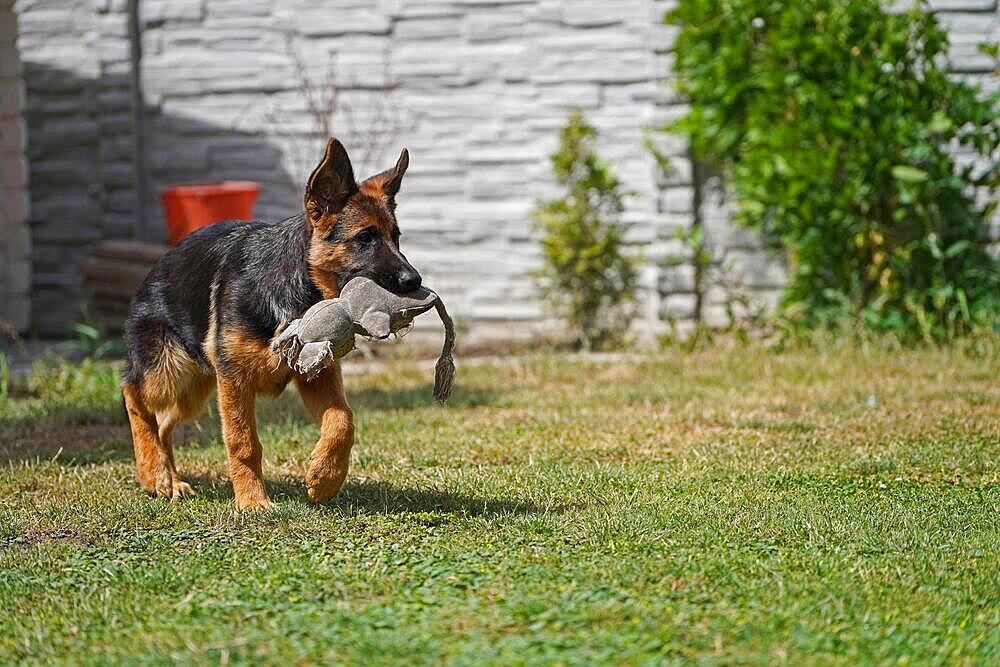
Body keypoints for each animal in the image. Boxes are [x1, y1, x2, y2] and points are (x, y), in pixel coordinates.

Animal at [121, 138, 422, 508]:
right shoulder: (234, 381)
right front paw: (252, 502)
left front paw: (324, 478)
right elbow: (243, 442)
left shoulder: (317, 375)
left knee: (163, 422)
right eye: (366, 238)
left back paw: (170, 480)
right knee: (133, 395)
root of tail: (156, 267)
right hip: (167, 370)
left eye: (396, 237)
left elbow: (343, 420)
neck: (297, 286)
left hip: (195, 388)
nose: (414, 280)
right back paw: (153, 473)